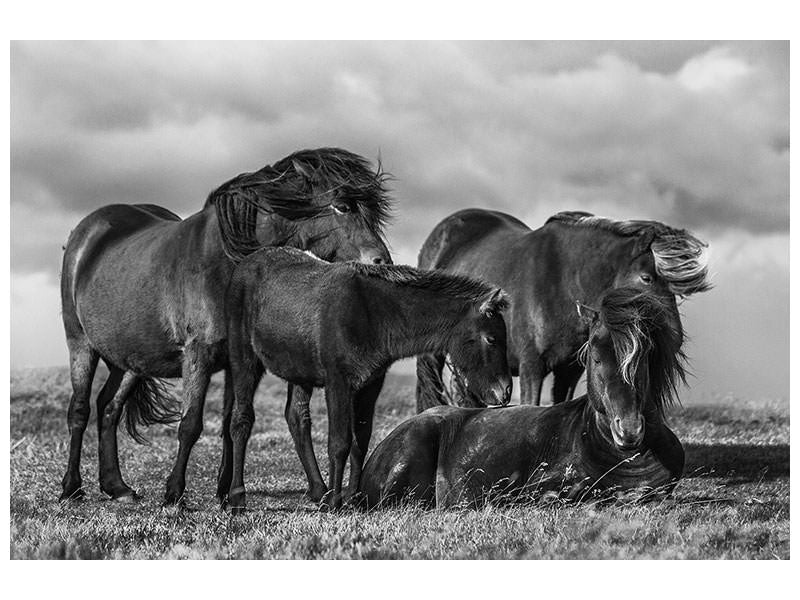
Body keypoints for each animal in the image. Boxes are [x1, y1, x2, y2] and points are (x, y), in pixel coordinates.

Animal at [57, 148, 392, 504]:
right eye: (342, 205)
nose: (381, 261)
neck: (226, 264)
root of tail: (87, 233)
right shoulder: (198, 355)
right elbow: (191, 424)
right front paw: (174, 493)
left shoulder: (239, 360)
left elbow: (233, 422)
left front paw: (225, 491)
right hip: (80, 344)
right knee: (79, 411)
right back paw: (71, 488)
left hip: (131, 360)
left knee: (109, 408)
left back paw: (117, 486)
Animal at [217, 247, 512, 510]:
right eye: (491, 339)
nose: (505, 391)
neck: (374, 314)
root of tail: (242, 265)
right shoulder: (338, 382)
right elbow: (339, 442)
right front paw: (336, 503)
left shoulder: (370, 385)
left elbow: (360, 441)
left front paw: (353, 499)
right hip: (244, 359)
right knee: (241, 419)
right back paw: (237, 498)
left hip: (298, 371)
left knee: (296, 417)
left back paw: (319, 492)